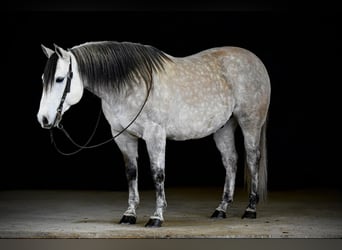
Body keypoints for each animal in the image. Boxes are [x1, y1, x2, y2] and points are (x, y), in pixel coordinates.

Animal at [37, 41, 272, 227]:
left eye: (59, 79)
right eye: (43, 78)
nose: (44, 119)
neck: (130, 84)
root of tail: (256, 61)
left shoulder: (155, 134)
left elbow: (158, 173)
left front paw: (156, 216)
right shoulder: (123, 136)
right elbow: (131, 173)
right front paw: (129, 214)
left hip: (250, 123)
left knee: (252, 159)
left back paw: (250, 209)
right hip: (224, 127)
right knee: (231, 161)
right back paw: (221, 209)